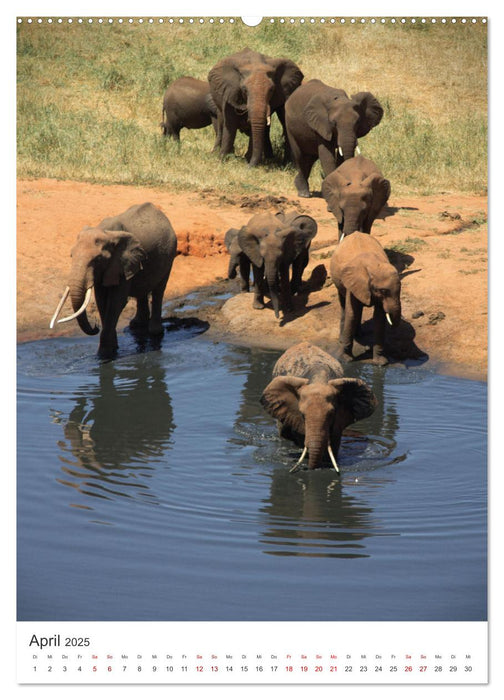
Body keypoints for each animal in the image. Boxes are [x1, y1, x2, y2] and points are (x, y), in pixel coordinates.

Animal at [49, 200, 178, 358]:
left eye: (97, 260)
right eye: (71, 255)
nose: (95, 326)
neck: (105, 232)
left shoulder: (121, 263)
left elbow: (116, 301)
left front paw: (104, 355)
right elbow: (101, 300)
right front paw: (111, 349)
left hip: (170, 255)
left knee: (159, 289)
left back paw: (155, 332)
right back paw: (136, 325)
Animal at [330, 234, 402, 370]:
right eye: (383, 291)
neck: (372, 267)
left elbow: (379, 318)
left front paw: (381, 363)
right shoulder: (352, 283)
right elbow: (352, 314)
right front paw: (346, 360)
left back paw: (359, 334)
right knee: (344, 305)